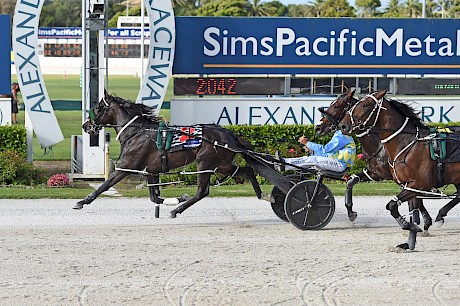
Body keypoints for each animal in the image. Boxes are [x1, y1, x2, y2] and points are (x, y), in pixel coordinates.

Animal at [74, 92, 268, 219]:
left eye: (98, 107)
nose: (85, 125)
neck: (136, 132)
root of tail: (228, 133)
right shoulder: (151, 170)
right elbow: (154, 197)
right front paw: (179, 198)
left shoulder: (127, 166)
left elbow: (105, 185)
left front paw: (82, 201)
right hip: (222, 164)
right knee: (248, 170)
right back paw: (263, 195)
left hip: (205, 163)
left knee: (202, 191)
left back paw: (176, 211)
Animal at [314, 88, 434, 232]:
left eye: (336, 106)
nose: (318, 127)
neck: (379, 145)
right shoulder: (374, 173)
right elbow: (351, 181)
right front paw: (351, 212)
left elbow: (415, 197)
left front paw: (422, 221)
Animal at [338, 89, 460, 250]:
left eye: (365, 105)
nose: (343, 125)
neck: (407, 144)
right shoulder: (407, 185)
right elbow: (413, 213)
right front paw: (410, 243)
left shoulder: (419, 184)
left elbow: (392, 205)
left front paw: (411, 226)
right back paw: (440, 215)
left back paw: (440, 216)